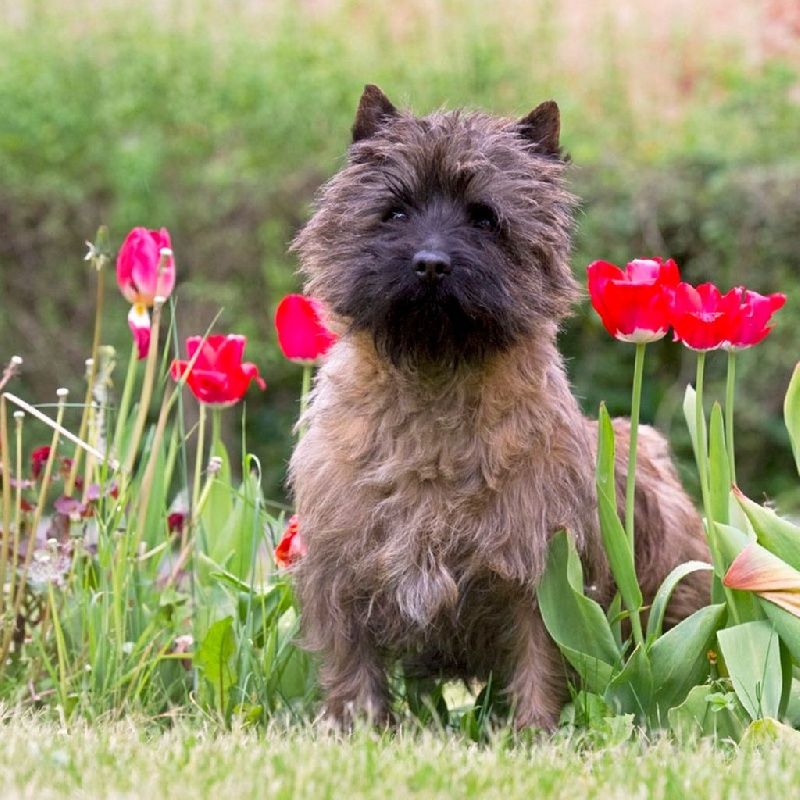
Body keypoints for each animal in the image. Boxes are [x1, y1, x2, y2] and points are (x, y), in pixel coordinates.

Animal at [286, 84, 708, 728]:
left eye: (484, 217)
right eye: (396, 211)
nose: (431, 263)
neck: (434, 392)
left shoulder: (543, 580)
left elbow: (541, 665)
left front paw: (534, 735)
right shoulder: (341, 576)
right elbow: (353, 670)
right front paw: (358, 730)